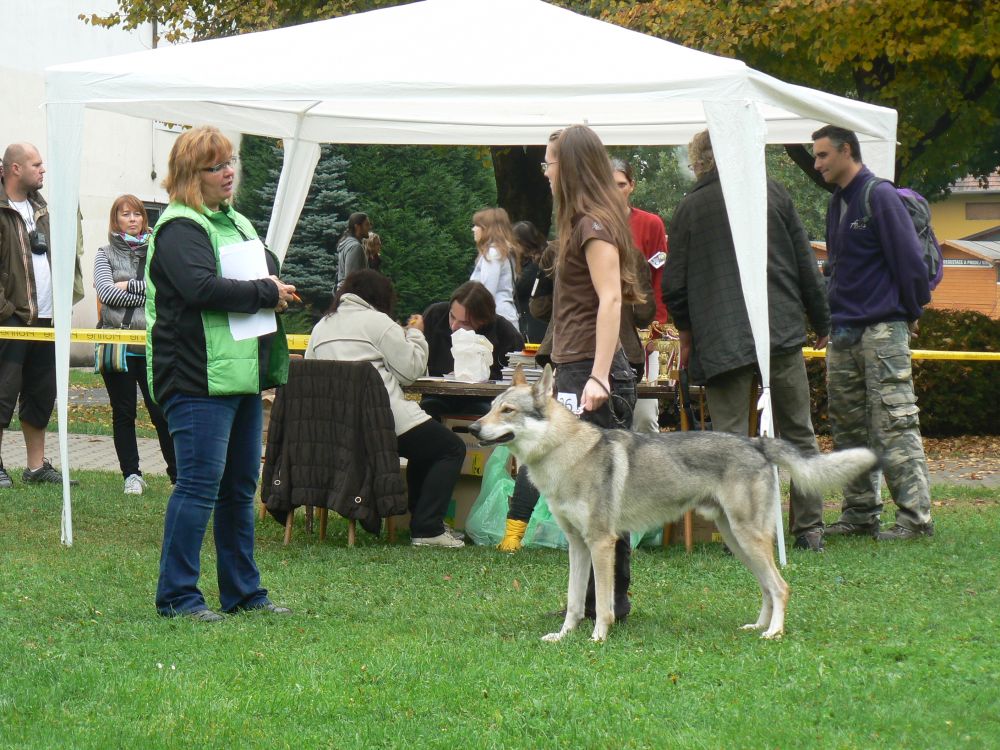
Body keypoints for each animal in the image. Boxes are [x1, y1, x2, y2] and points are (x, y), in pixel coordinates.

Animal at [468, 368, 876, 644]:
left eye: (507, 410)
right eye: (489, 408)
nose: (473, 429)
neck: (565, 454)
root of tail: (757, 443)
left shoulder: (601, 543)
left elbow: (602, 603)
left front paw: (598, 638)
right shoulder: (578, 546)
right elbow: (573, 601)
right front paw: (564, 636)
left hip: (748, 539)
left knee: (781, 586)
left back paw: (773, 633)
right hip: (738, 542)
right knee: (766, 587)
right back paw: (758, 625)